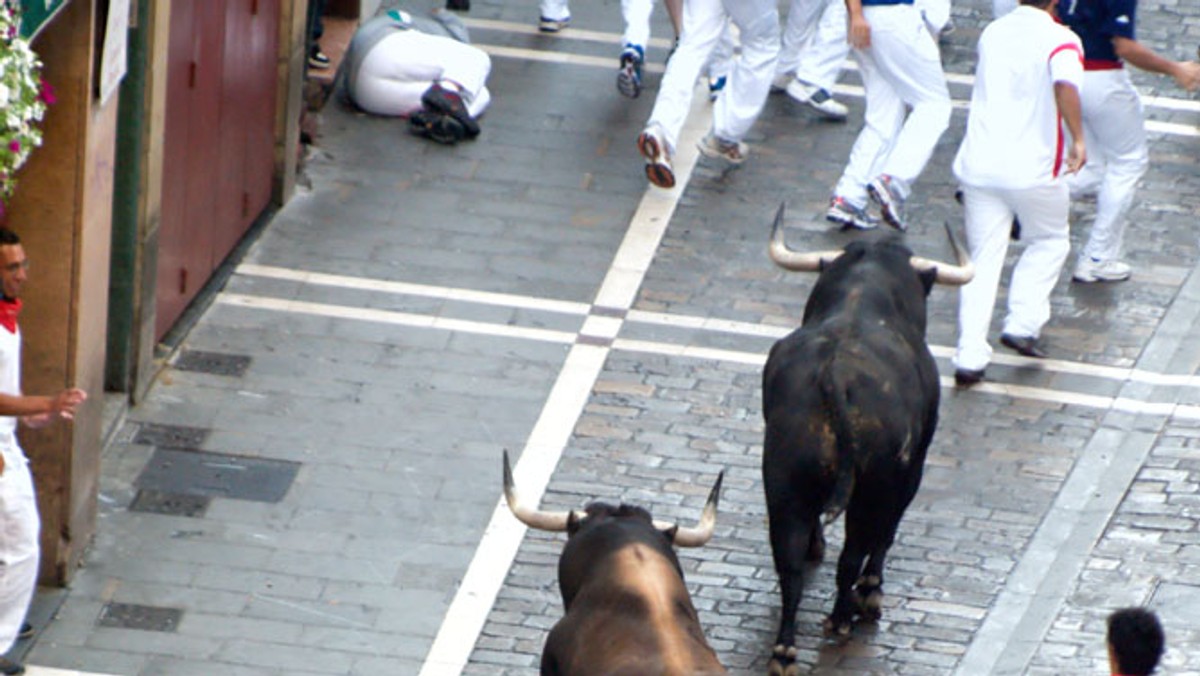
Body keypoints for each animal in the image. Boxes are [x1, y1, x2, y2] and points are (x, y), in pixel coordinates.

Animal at [763, 207, 969, 676]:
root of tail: (834, 371)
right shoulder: (913, 467)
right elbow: (886, 533)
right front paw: (871, 592)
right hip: (870, 488)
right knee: (854, 552)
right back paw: (843, 616)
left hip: (782, 483)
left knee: (789, 565)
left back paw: (785, 649)